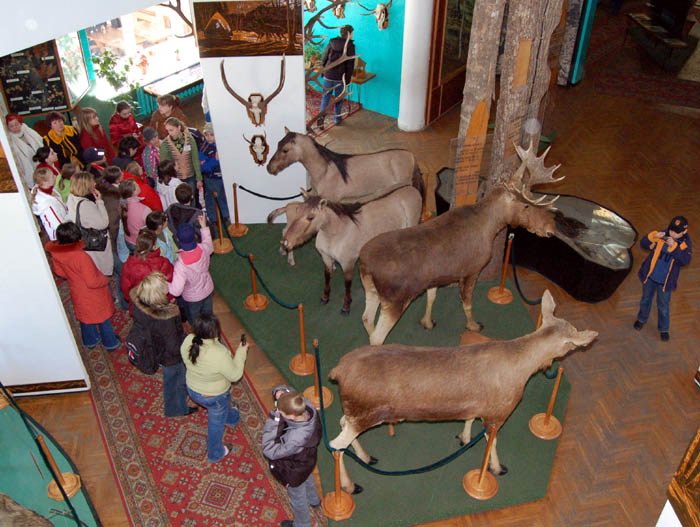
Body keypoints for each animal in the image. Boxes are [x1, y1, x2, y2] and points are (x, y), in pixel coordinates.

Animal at [327, 290, 598, 494]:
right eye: (571, 343)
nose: (550, 366)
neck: (521, 367)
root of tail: (337, 371)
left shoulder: (479, 407)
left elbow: (468, 418)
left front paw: (464, 437)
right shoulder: (498, 414)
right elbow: (492, 442)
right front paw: (498, 469)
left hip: (356, 412)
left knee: (341, 425)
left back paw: (366, 457)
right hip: (365, 414)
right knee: (335, 444)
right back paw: (350, 486)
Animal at [359, 142, 581, 345]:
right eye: (526, 205)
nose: (550, 228)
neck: (491, 227)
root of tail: (365, 262)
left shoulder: (437, 277)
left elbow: (432, 297)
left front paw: (427, 322)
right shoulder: (472, 269)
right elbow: (467, 302)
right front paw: (473, 325)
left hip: (371, 290)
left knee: (366, 318)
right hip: (395, 299)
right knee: (377, 336)